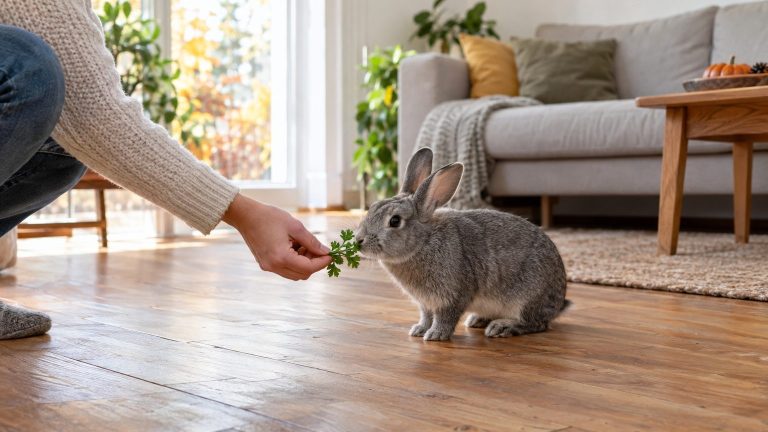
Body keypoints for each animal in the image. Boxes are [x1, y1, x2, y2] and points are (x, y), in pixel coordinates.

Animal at [355, 147, 570, 341]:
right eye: (372, 208)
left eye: (395, 221)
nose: (358, 240)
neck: (423, 241)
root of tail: (559, 300)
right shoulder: (426, 303)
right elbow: (426, 316)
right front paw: (419, 330)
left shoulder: (453, 295)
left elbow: (446, 317)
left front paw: (435, 335)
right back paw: (477, 320)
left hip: (527, 298)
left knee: (536, 323)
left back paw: (502, 327)